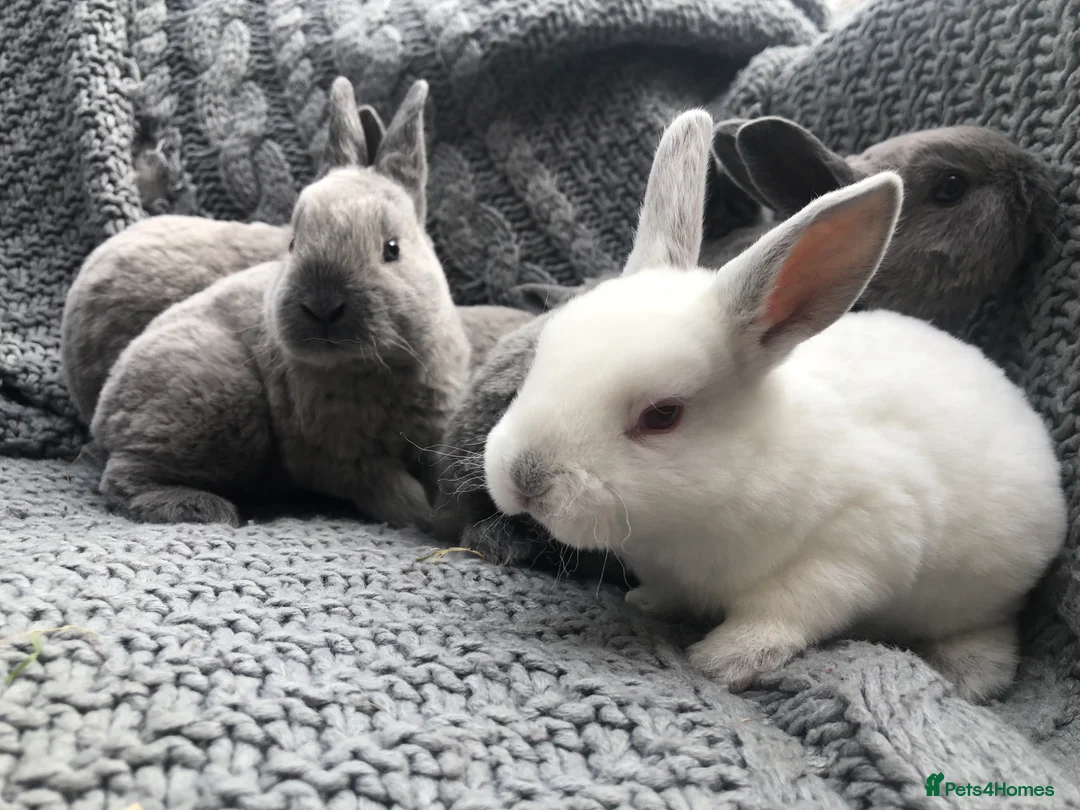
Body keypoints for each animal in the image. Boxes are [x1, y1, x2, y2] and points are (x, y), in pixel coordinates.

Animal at [90, 77, 472, 530]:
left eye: (392, 249)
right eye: (293, 243)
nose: (322, 307)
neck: (375, 366)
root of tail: (104, 410)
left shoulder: (429, 440)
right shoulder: (345, 463)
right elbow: (393, 495)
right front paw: (426, 519)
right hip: (218, 404)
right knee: (124, 475)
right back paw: (202, 508)